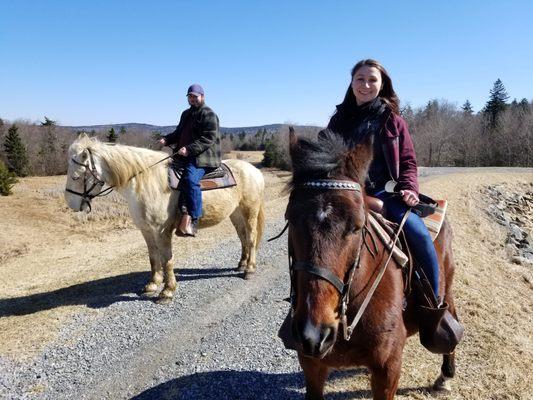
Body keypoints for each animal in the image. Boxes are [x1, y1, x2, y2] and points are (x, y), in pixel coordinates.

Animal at [65, 134, 266, 304]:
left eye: (75, 176)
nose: (71, 203)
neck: (146, 181)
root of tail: (254, 171)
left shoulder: (162, 230)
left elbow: (167, 259)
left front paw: (167, 291)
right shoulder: (146, 230)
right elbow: (153, 257)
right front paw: (152, 284)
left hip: (250, 210)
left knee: (251, 237)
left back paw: (249, 269)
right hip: (236, 213)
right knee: (242, 237)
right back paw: (242, 264)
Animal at [284, 130, 460, 398]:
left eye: (357, 226)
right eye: (291, 219)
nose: (314, 333)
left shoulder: (388, 368)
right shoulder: (311, 365)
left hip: (446, 285)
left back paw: (445, 374)